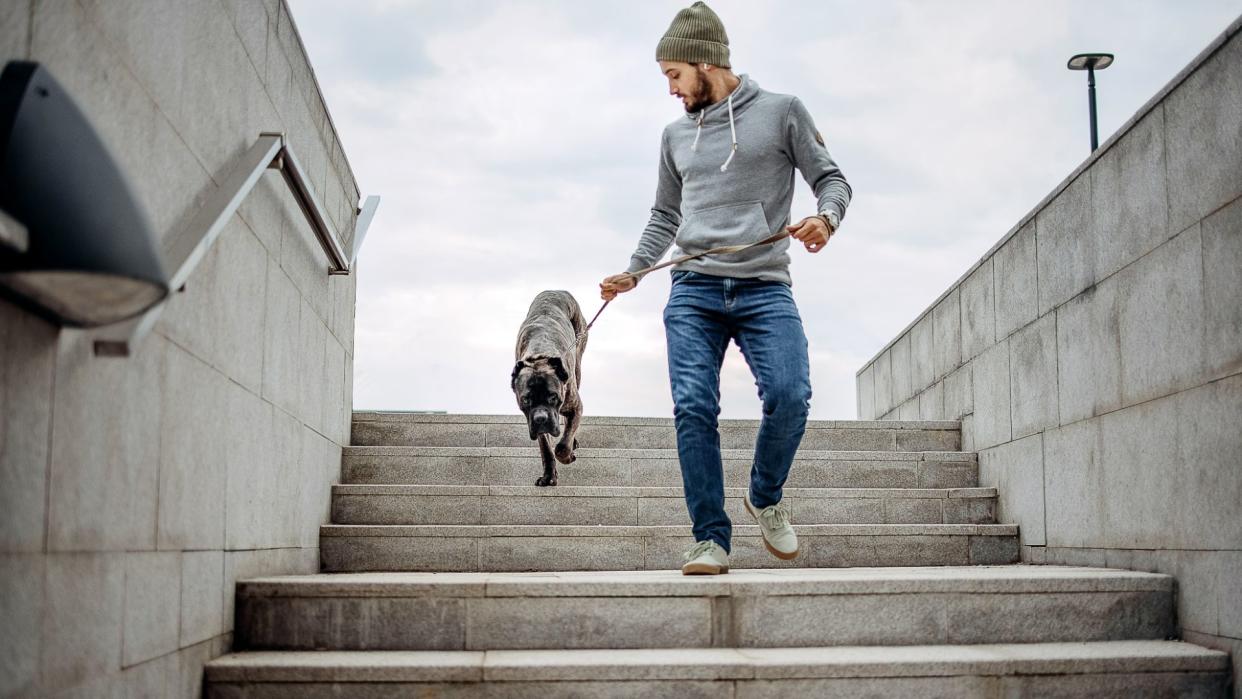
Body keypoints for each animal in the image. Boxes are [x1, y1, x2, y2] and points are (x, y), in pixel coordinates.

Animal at [514, 290, 591, 486]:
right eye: (526, 400)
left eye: (553, 397)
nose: (541, 418)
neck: (540, 356)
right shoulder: (534, 421)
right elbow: (546, 449)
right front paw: (549, 476)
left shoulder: (575, 406)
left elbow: (562, 446)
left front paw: (568, 455)